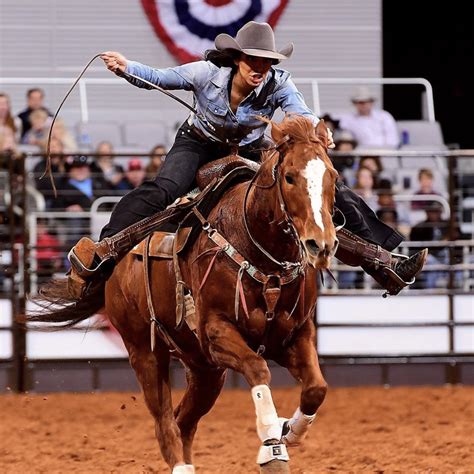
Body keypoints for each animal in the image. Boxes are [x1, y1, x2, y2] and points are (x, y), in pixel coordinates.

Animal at [28, 115, 336, 474]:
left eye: (333, 176)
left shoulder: (295, 334)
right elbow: (258, 368)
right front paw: (272, 447)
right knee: (165, 425)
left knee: (183, 421)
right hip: (145, 352)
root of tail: (116, 268)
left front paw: (288, 431)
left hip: (205, 369)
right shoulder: (216, 332)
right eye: (289, 177)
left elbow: (316, 388)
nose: (321, 243)